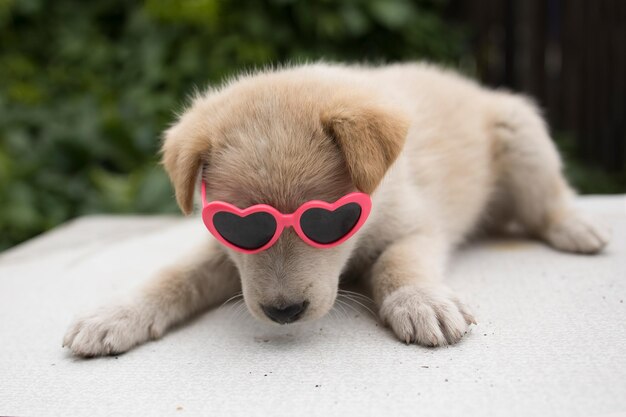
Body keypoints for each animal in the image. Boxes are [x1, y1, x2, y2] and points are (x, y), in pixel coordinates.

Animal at [64, 61, 608, 354]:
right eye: (240, 228)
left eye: (327, 221)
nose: (284, 313)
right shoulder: (223, 253)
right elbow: (174, 275)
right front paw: (115, 314)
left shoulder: (417, 228)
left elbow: (396, 264)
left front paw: (420, 301)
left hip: (521, 135)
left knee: (549, 201)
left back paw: (575, 227)